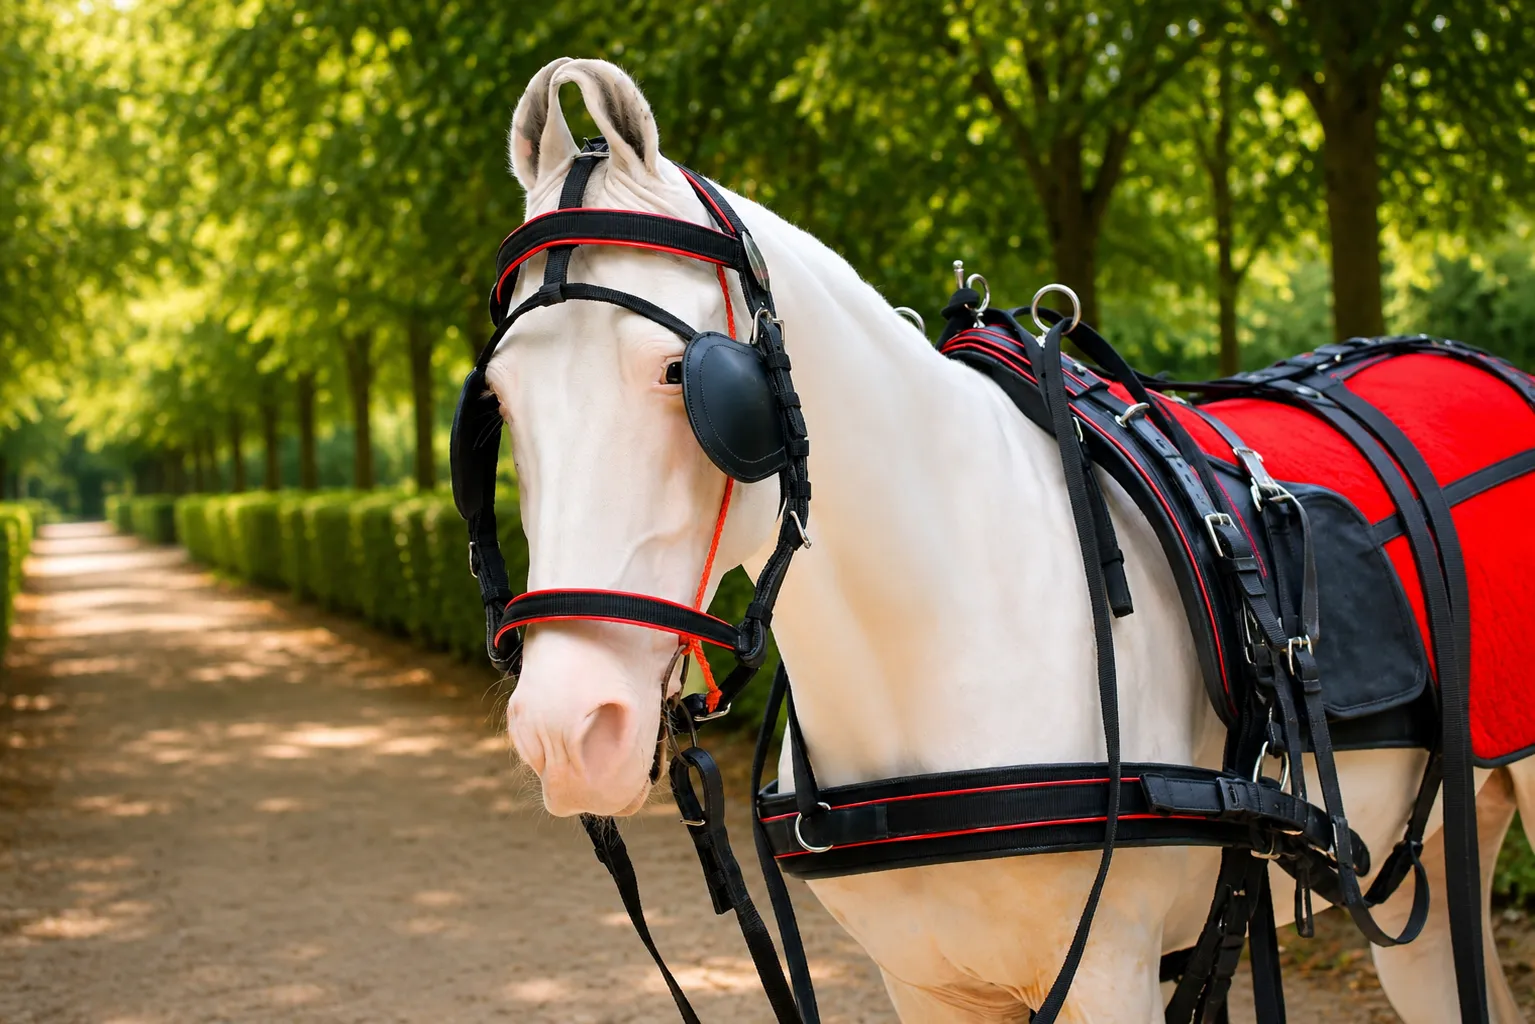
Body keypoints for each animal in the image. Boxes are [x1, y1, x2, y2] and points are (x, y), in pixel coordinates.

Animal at [487, 57, 1535, 1022]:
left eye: (678, 373)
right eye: (498, 396)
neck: (949, 616)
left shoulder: (1109, 972)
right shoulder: (926, 985)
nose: (565, 730)